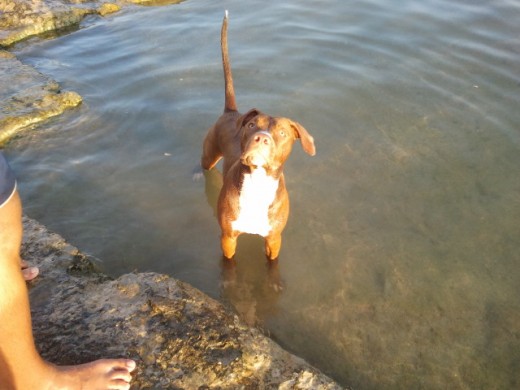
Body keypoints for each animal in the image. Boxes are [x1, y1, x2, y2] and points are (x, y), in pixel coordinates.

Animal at [201, 12, 314, 260]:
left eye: (282, 132)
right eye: (252, 125)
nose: (262, 137)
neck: (257, 184)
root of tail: (231, 112)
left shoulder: (274, 239)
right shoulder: (228, 238)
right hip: (209, 154)